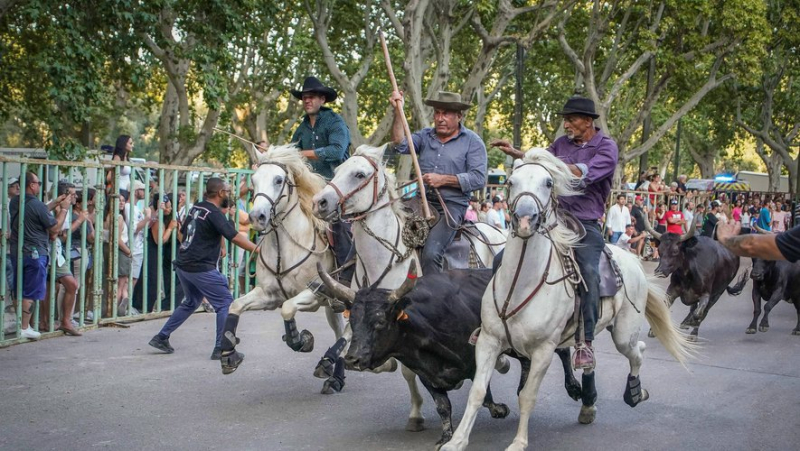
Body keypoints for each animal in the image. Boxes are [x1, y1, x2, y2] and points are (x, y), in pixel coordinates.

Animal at [220, 146, 346, 396]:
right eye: (254, 180)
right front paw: (228, 355)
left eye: (278, 180)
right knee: (340, 330)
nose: (257, 217)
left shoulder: (314, 294)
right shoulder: (269, 295)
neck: (285, 250)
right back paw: (335, 376)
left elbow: (288, 309)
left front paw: (301, 339)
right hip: (333, 305)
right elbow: (235, 305)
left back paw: (330, 367)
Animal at [312, 144, 506, 430]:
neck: (382, 259)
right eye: (337, 170)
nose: (320, 202)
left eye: (359, 174)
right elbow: (350, 338)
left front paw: (416, 412)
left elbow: (407, 369)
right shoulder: (359, 307)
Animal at [316, 264, 584, 446]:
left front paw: (497, 409)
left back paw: (574, 388)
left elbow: (482, 391)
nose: (352, 359)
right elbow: (443, 406)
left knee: (562, 351)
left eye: (380, 321)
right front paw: (446, 437)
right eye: (352, 320)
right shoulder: (426, 373)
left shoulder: (477, 356)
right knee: (527, 362)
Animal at [440, 149, 696, 451]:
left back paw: (635, 392)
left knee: (638, 351)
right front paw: (456, 441)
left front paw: (519, 442)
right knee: (594, 359)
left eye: (548, 182)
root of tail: (632, 260)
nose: (525, 219)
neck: (521, 282)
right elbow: (478, 391)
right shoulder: (489, 341)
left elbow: (527, 396)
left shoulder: (543, 351)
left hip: (624, 334)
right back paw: (589, 404)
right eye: (511, 182)